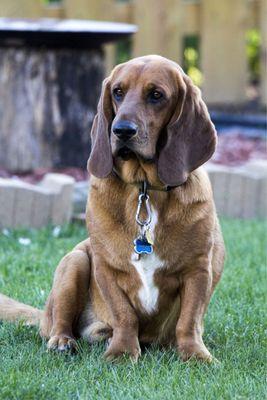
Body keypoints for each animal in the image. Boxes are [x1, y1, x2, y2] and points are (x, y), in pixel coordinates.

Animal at [0, 55, 226, 362]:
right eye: (118, 92)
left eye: (157, 95)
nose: (122, 131)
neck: (144, 189)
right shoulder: (106, 268)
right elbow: (124, 315)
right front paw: (121, 352)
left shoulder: (197, 269)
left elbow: (189, 321)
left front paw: (195, 355)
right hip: (74, 262)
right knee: (59, 322)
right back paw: (63, 341)